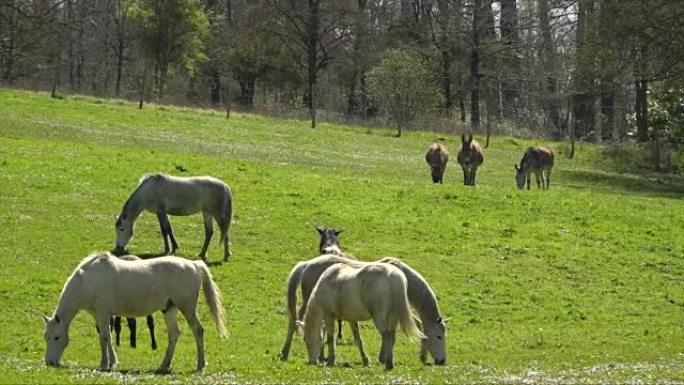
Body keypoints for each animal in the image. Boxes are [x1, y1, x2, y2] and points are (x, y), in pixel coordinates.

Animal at [42, 250, 227, 370]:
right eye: (46, 337)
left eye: (57, 337)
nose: (49, 362)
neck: (88, 280)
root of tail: (194, 264)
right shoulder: (98, 314)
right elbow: (107, 336)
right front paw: (112, 361)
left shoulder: (103, 313)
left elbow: (104, 337)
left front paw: (104, 364)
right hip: (170, 309)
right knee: (174, 334)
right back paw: (164, 365)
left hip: (187, 308)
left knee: (198, 330)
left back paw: (200, 364)